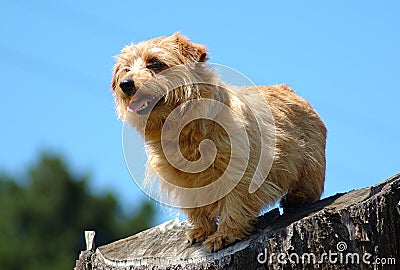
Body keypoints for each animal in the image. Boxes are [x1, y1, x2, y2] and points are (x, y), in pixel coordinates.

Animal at [111, 32, 326, 252]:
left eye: (155, 63)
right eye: (126, 69)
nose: (125, 84)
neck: (184, 131)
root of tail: (289, 90)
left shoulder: (240, 172)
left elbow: (234, 204)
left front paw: (225, 235)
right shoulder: (183, 182)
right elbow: (197, 208)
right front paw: (202, 230)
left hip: (311, 163)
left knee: (311, 186)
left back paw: (297, 198)